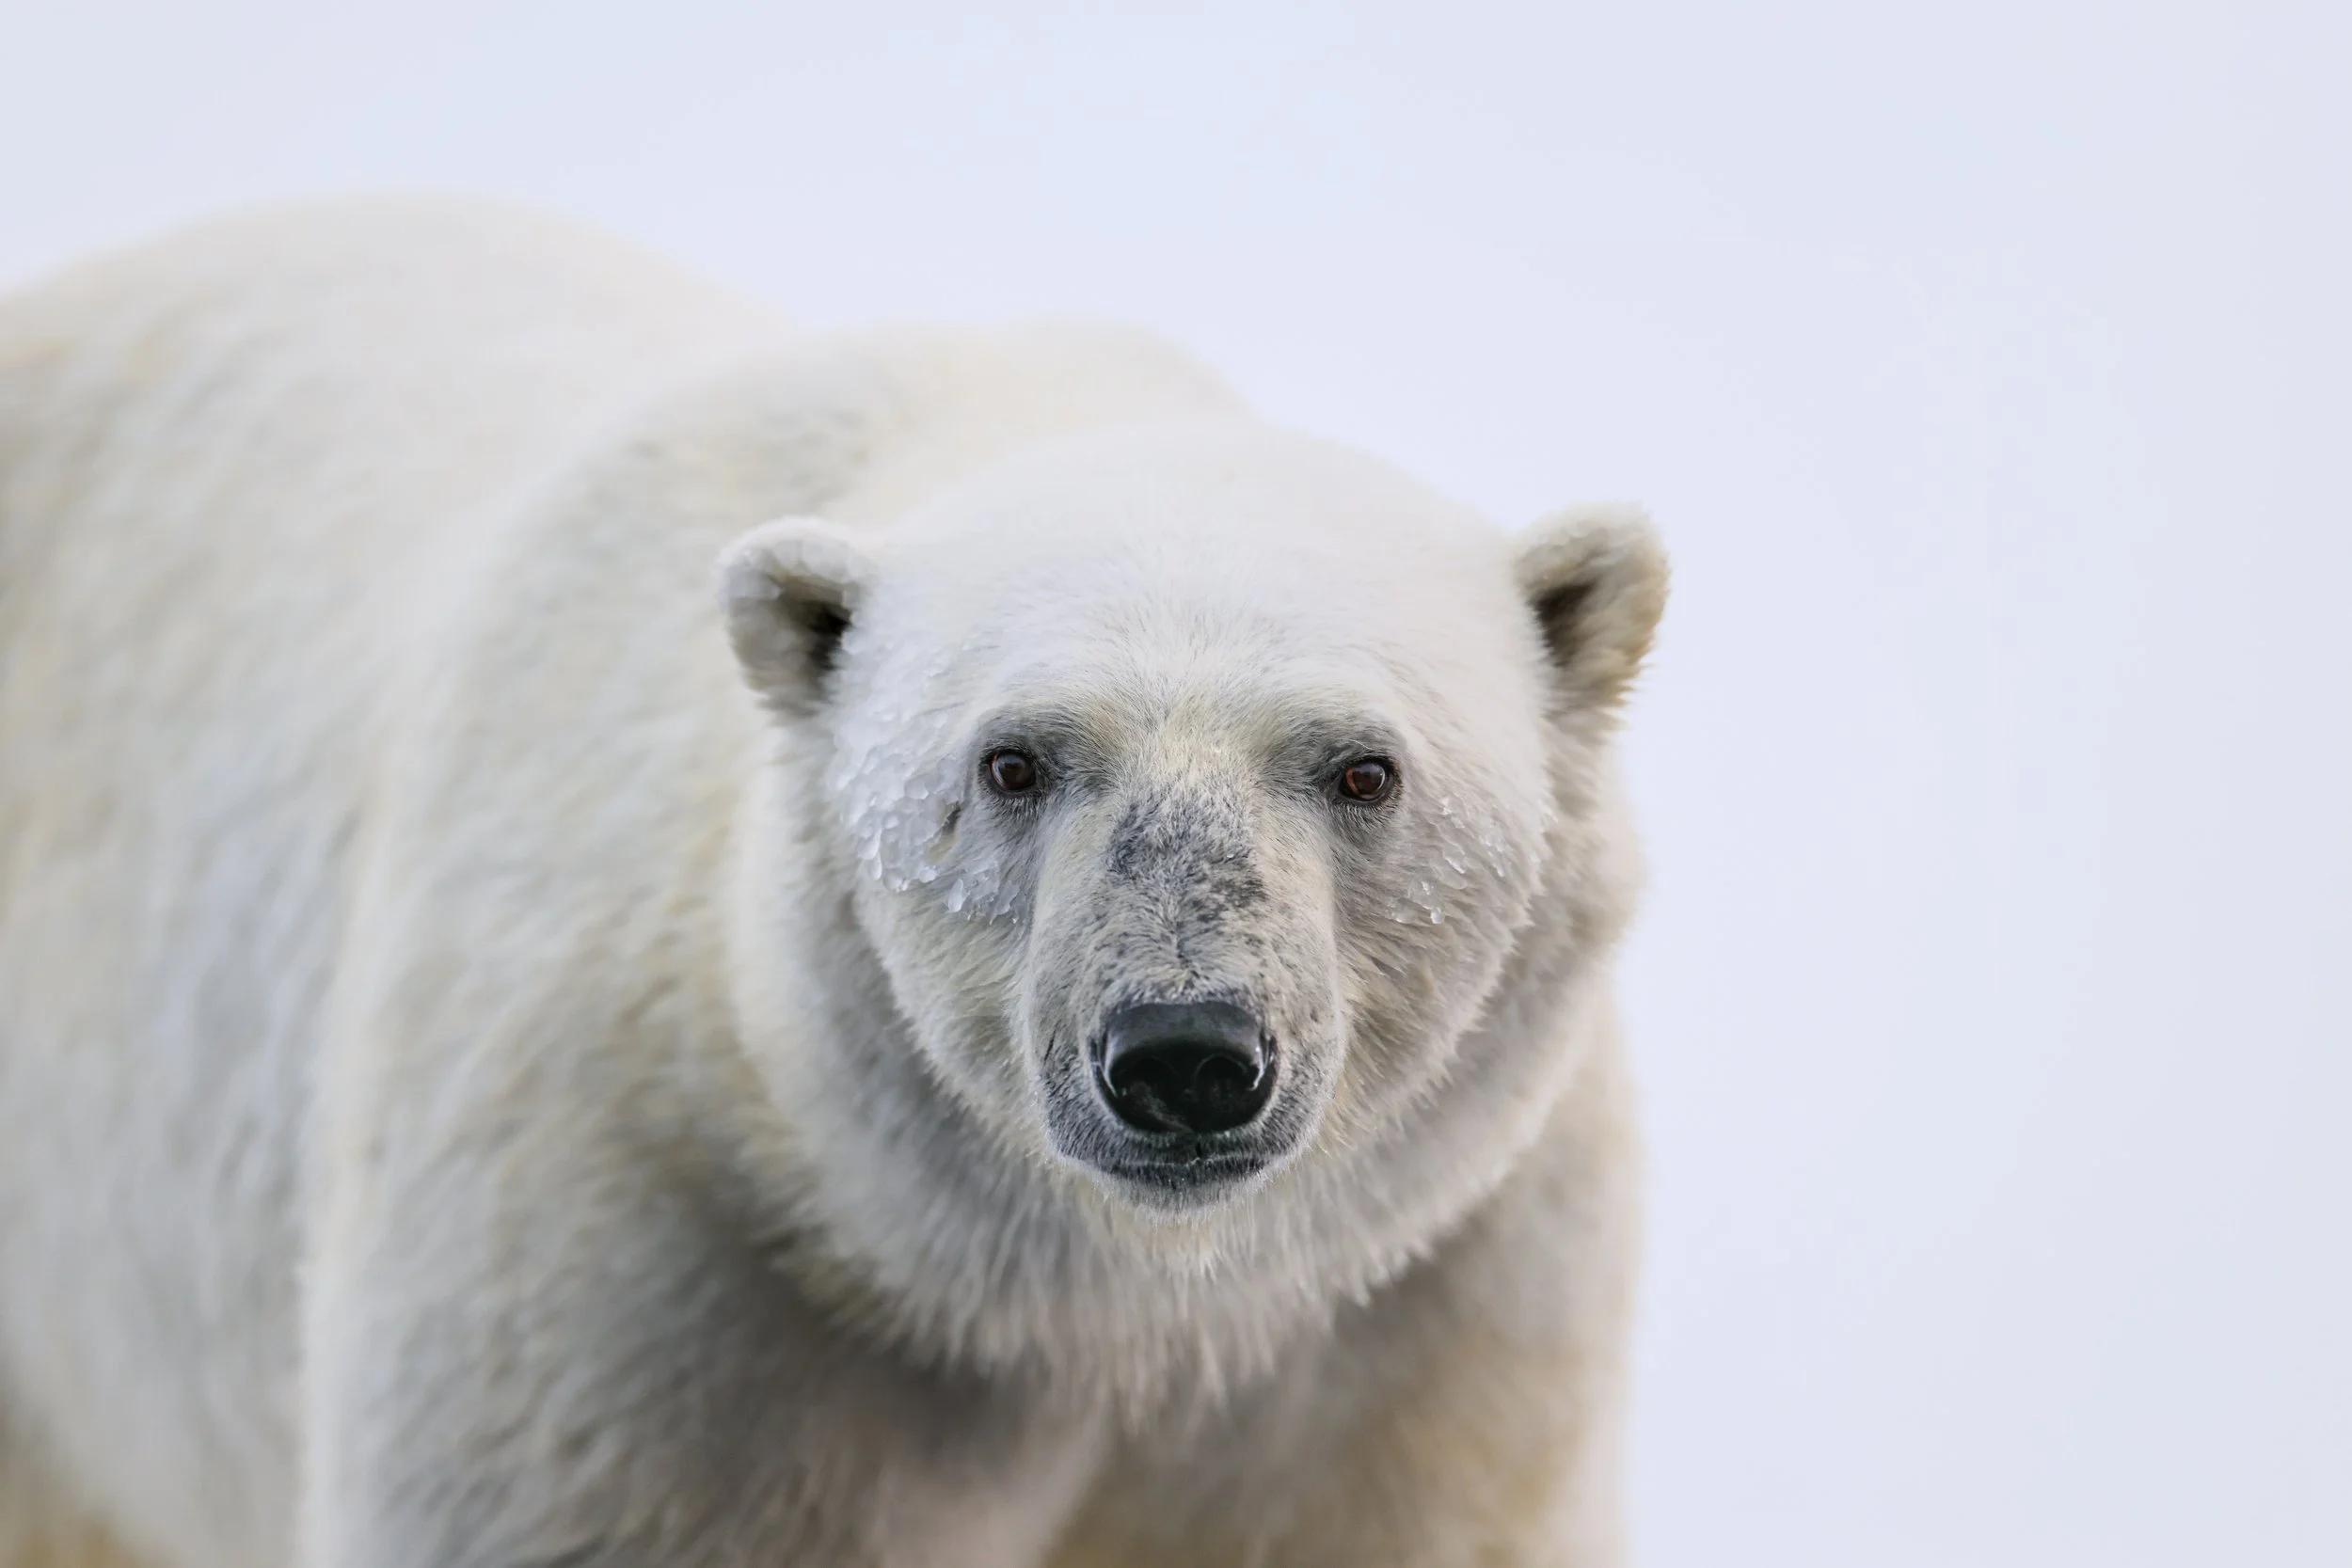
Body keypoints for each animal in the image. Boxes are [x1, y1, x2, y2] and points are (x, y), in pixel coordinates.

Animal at [0, 199, 1666, 1568]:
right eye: (1013, 761)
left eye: (1363, 768)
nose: (1184, 1053)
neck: (1107, 1301)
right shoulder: (661, 1264)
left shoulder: (1422, 1312)